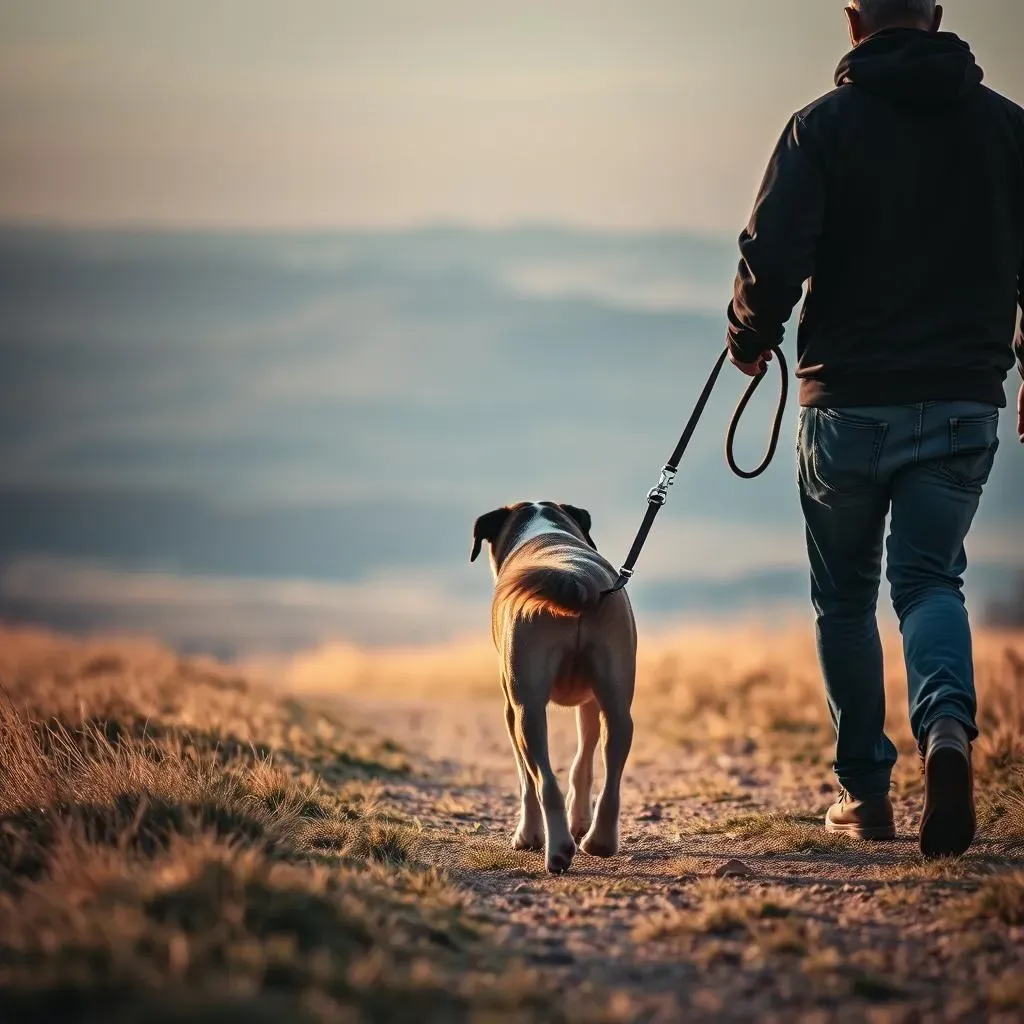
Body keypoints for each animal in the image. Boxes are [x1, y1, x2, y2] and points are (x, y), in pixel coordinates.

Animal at [468, 499, 630, 868]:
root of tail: (575, 577)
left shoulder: (510, 709)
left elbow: (526, 778)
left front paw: (527, 835)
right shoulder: (590, 701)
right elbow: (584, 759)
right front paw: (580, 818)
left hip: (527, 710)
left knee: (543, 780)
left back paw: (556, 848)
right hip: (616, 695)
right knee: (612, 764)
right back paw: (599, 840)